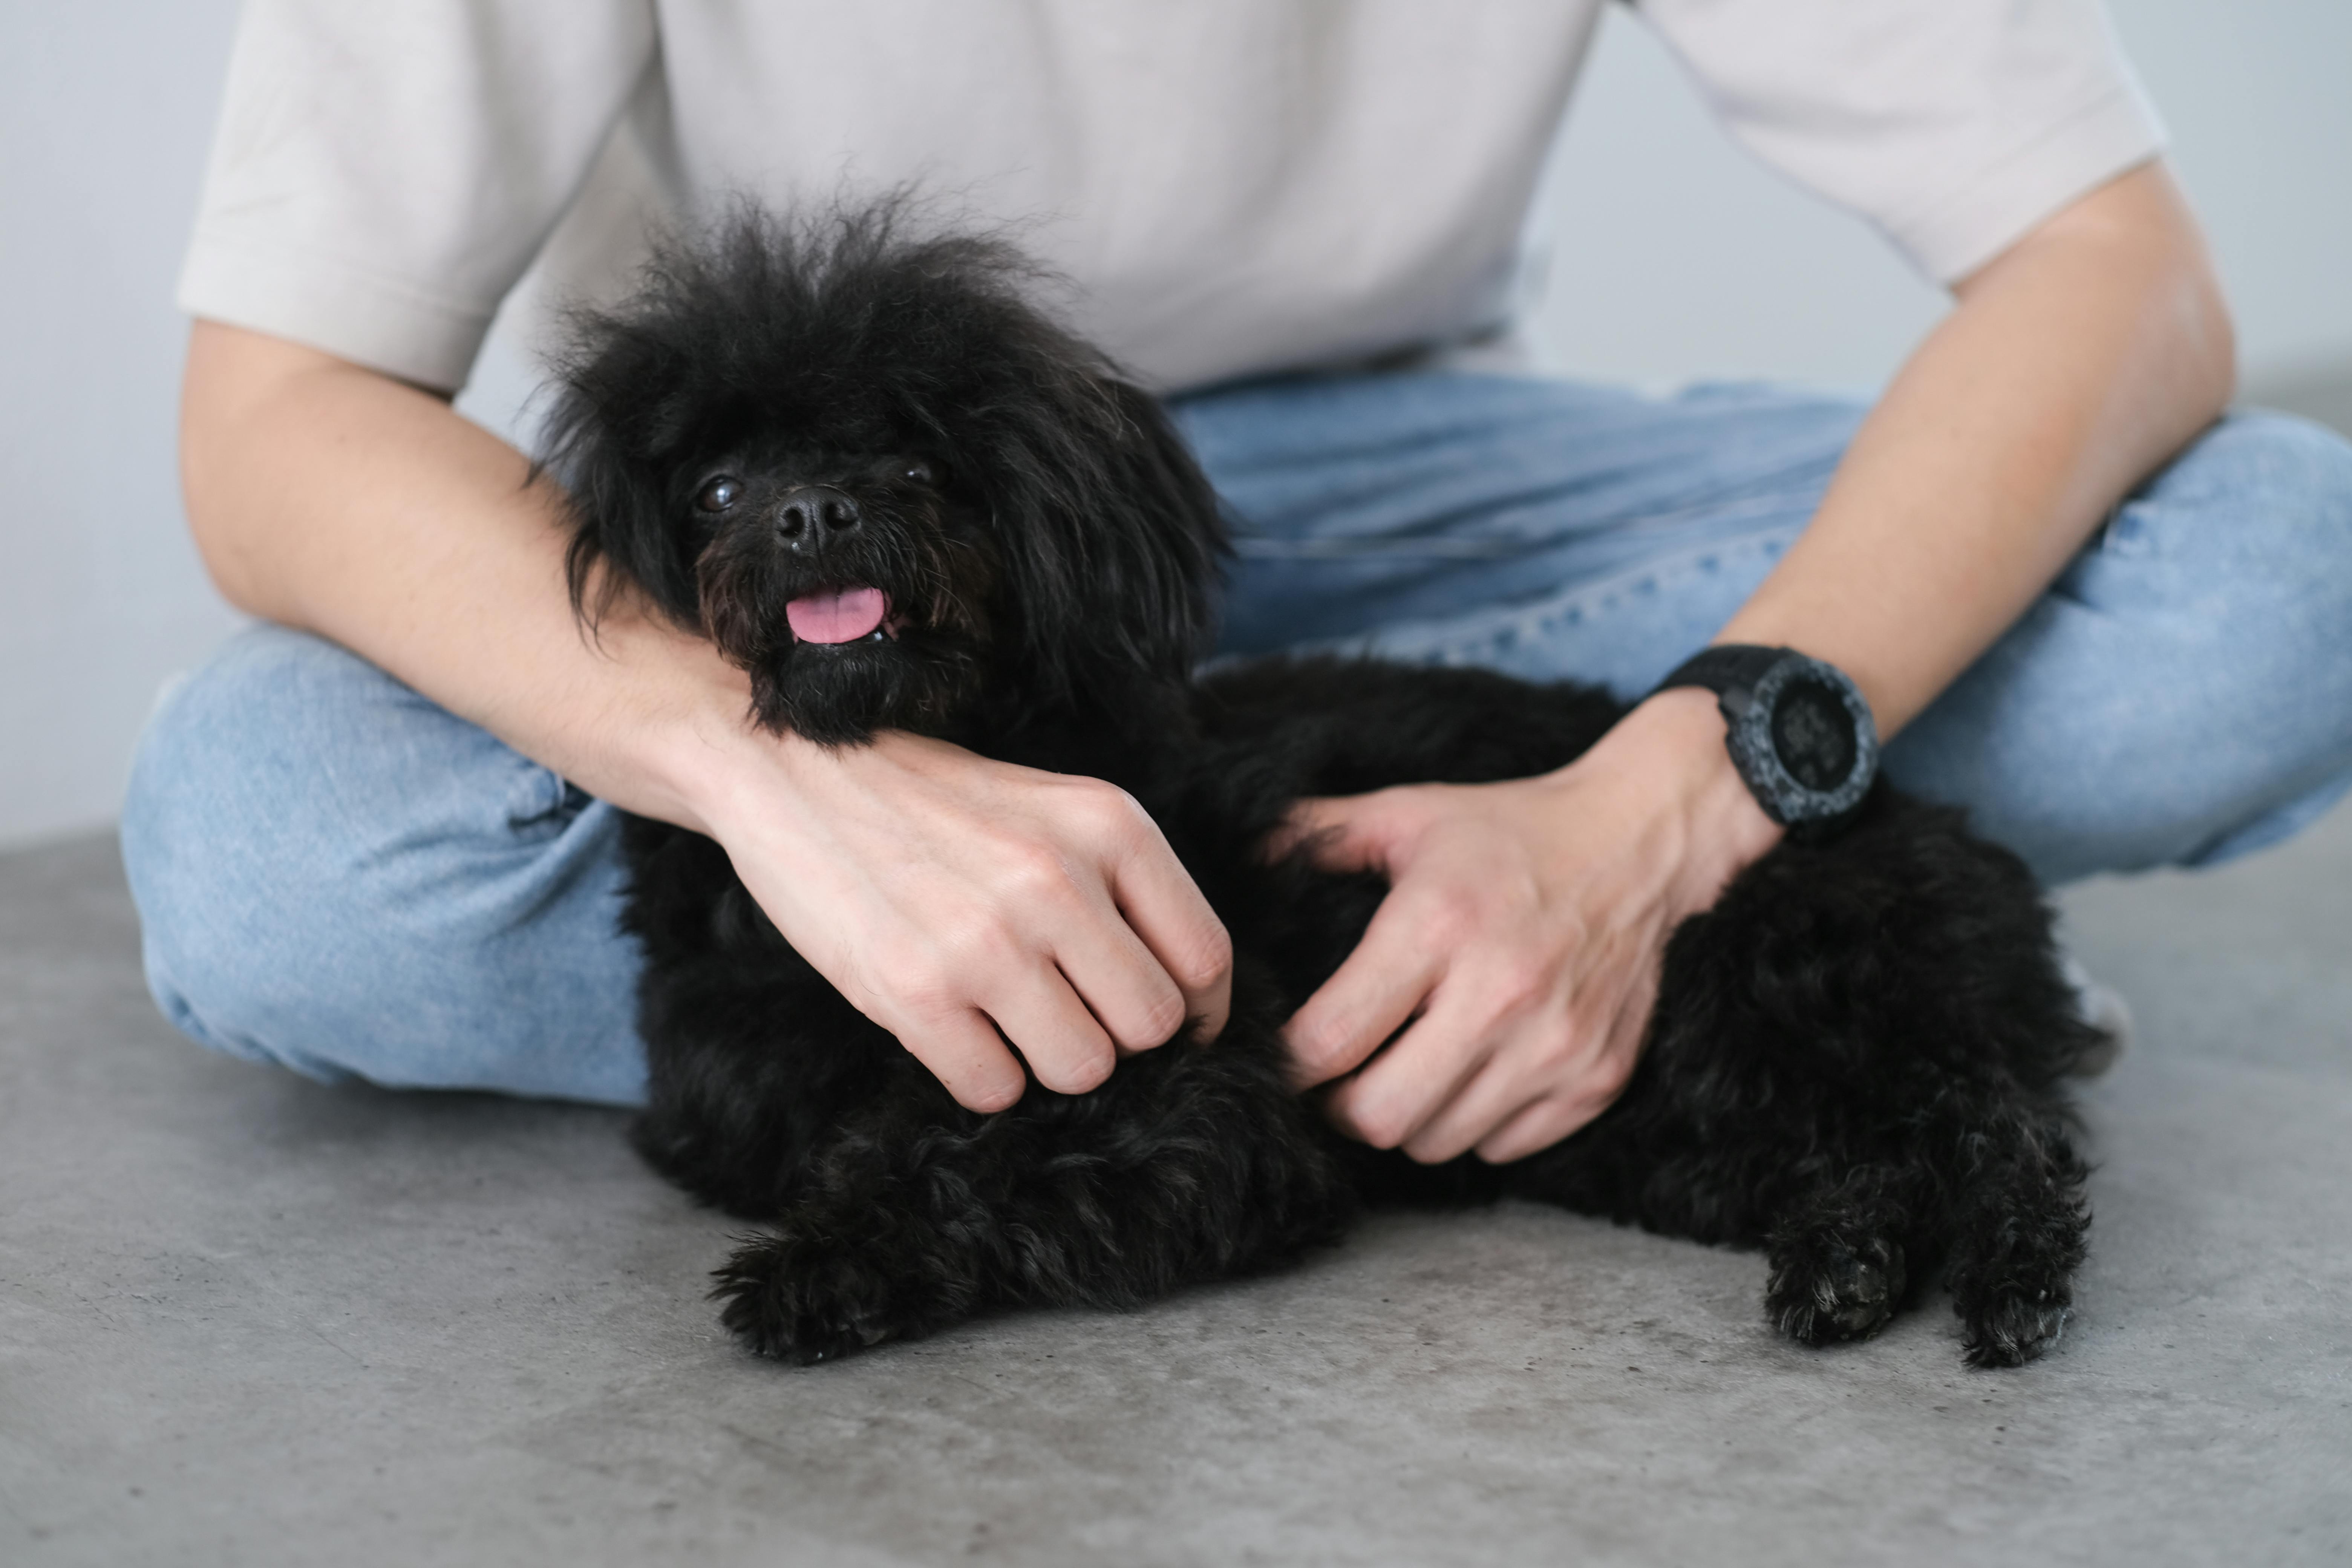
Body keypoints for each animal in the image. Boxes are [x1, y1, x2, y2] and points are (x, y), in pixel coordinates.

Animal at [541, 202, 2107, 1363]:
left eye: (920, 460)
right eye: (717, 491)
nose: (814, 510)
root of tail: (1945, 840)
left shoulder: (1212, 1109)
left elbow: (953, 1153)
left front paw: (819, 1270)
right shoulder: (716, 1110)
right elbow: (841, 1130)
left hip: (1768, 990)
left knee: (1994, 1125)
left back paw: (2009, 1280)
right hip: (1680, 1125)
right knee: (1878, 1155)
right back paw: (1848, 1265)